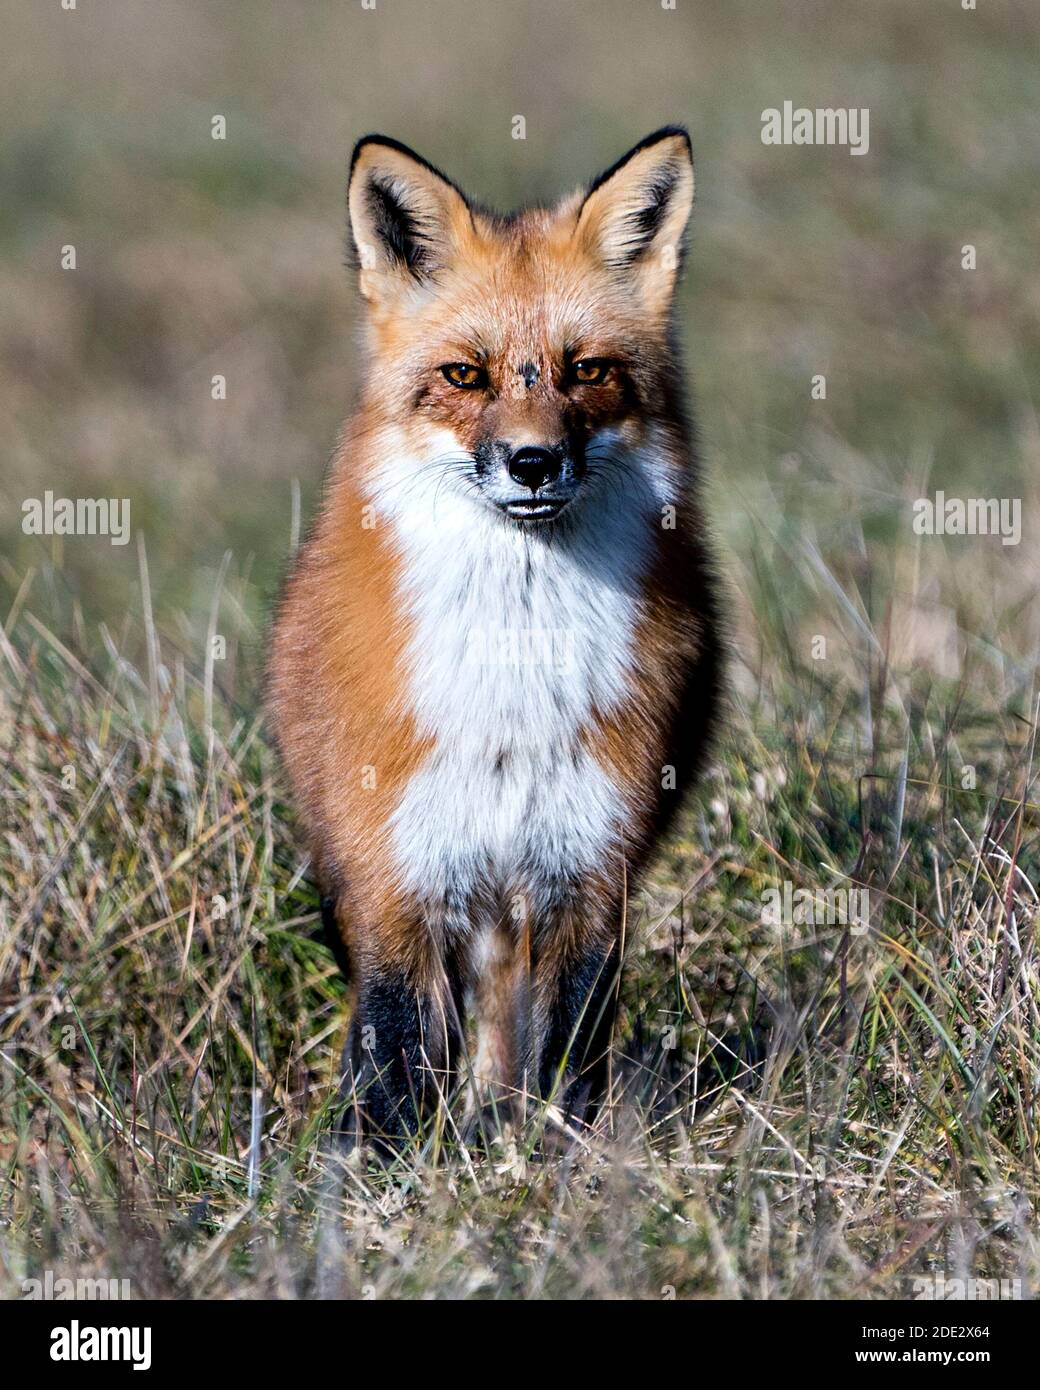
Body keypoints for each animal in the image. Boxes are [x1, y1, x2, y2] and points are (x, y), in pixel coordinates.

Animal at [268, 127, 717, 1150]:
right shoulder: (397, 875)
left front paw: (554, 1164)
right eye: (465, 376)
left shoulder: (588, 875)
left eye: (587, 369)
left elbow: (567, 1061)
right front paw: (378, 1173)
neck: (512, 693)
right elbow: (395, 1059)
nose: (533, 462)